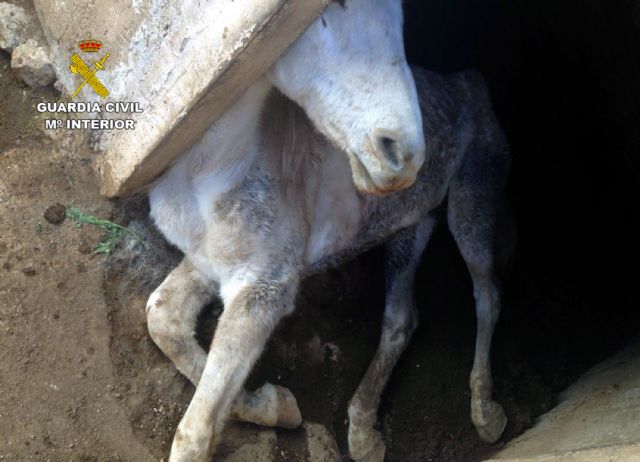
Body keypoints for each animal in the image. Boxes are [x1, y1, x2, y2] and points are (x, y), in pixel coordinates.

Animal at [145, 1, 512, 460]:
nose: (404, 154)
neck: (212, 168)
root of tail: (469, 80)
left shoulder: (265, 286)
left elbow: (196, 427)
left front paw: (270, 408)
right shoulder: (209, 261)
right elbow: (161, 318)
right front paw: (277, 405)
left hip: (471, 205)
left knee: (487, 294)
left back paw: (485, 412)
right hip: (410, 227)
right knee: (400, 319)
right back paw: (364, 432)